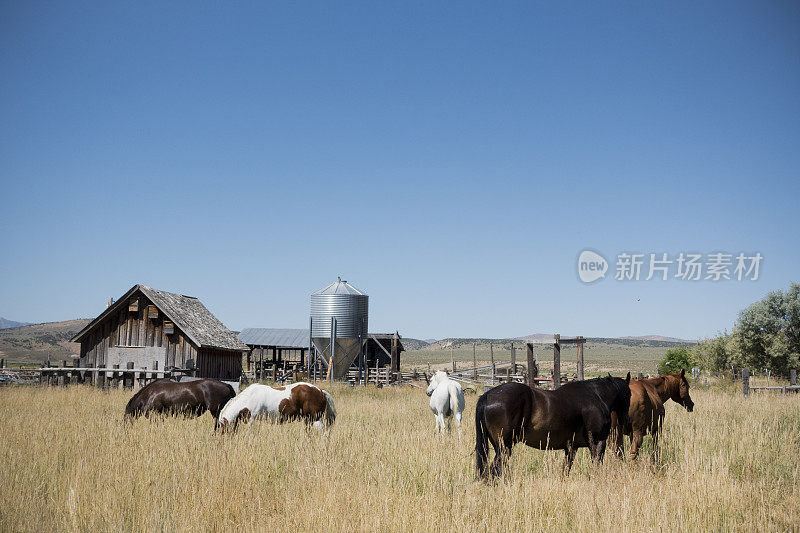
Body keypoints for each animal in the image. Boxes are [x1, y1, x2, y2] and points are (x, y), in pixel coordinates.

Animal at [476, 372, 632, 480]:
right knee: (493, 471)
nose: (625, 420)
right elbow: (596, 464)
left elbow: (566, 469)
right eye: (629, 394)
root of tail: (488, 395)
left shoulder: (571, 447)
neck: (597, 396)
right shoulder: (597, 442)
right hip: (504, 448)